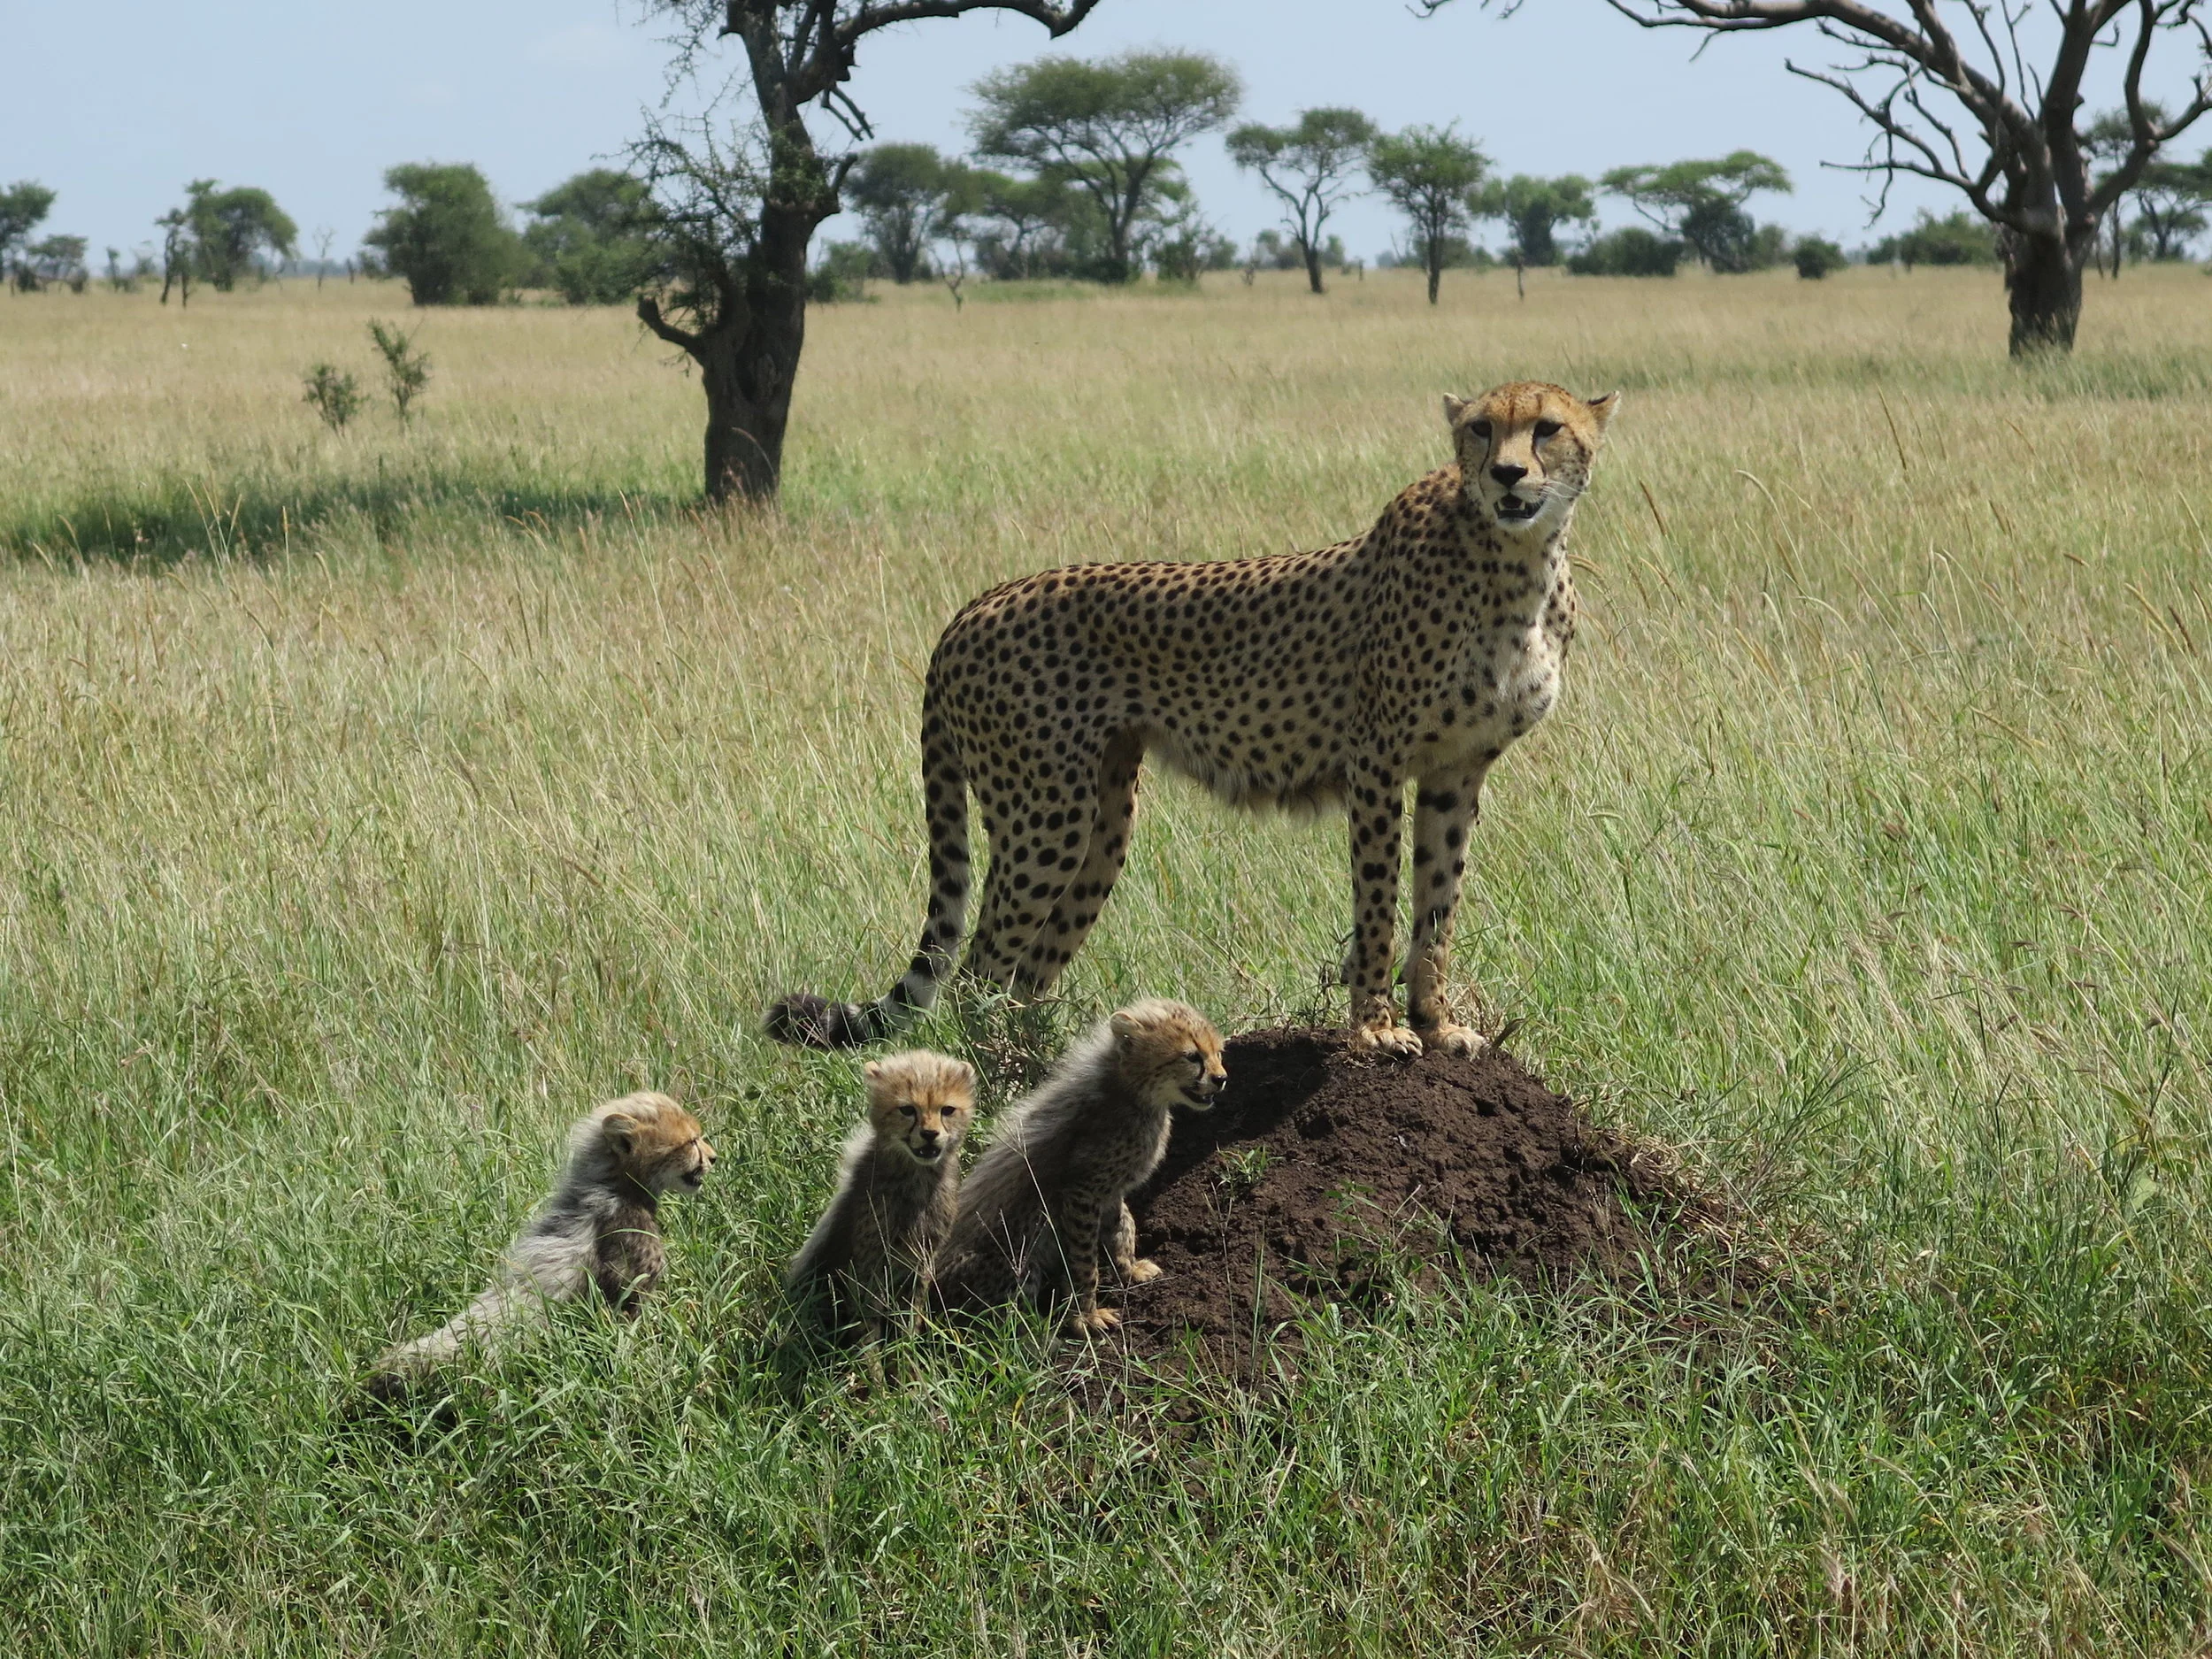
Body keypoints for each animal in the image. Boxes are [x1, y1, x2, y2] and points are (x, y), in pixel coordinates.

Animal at [767, 381, 1618, 1058]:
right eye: (1481, 428)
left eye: (1547, 427)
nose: (1507, 473)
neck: (1516, 562)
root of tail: (973, 605)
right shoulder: (1375, 760)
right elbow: (1378, 901)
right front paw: (1377, 1029)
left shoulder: (1456, 769)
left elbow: (1438, 906)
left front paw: (1439, 1024)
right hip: (1045, 814)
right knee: (981, 968)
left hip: (1103, 816)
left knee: (1029, 970)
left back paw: (1053, 1075)